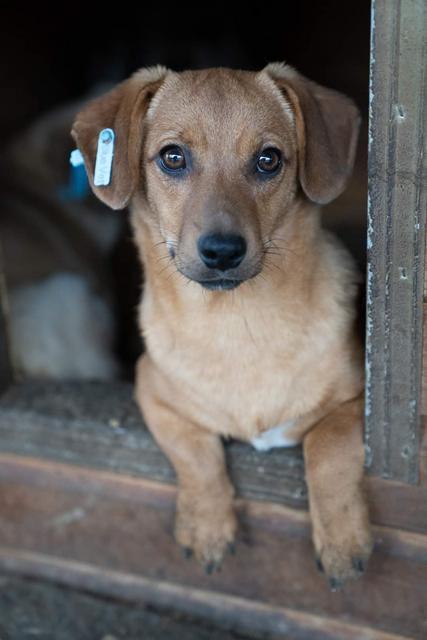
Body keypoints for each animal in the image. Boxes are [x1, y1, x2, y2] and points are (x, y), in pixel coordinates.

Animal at [72, 63, 374, 584]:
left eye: (268, 160)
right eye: (172, 157)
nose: (222, 251)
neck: (238, 325)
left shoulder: (358, 402)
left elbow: (328, 449)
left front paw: (341, 542)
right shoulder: (151, 391)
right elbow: (197, 455)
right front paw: (207, 527)